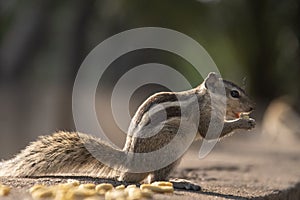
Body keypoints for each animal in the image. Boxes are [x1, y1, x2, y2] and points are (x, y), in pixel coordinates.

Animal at [0, 71, 255, 189]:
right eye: (234, 93)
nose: (252, 107)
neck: (206, 98)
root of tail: (129, 162)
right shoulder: (203, 115)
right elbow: (210, 133)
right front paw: (245, 123)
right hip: (172, 143)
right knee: (153, 180)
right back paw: (180, 182)